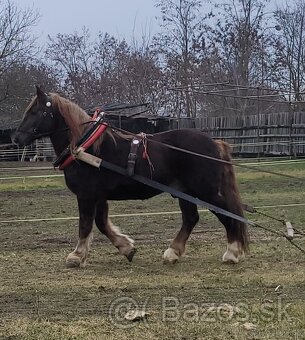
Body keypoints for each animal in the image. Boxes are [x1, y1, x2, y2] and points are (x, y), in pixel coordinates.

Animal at [12, 86, 249, 266]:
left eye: (35, 112)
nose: (16, 138)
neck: (86, 147)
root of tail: (214, 143)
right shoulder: (99, 196)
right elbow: (101, 223)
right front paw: (126, 248)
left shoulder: (86, 195)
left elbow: (85, 224)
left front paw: (76, 256)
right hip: (185, 191)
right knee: (191, 218)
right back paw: (173, 252)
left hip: (205, 191)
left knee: (228, 214)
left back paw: (232, 252)